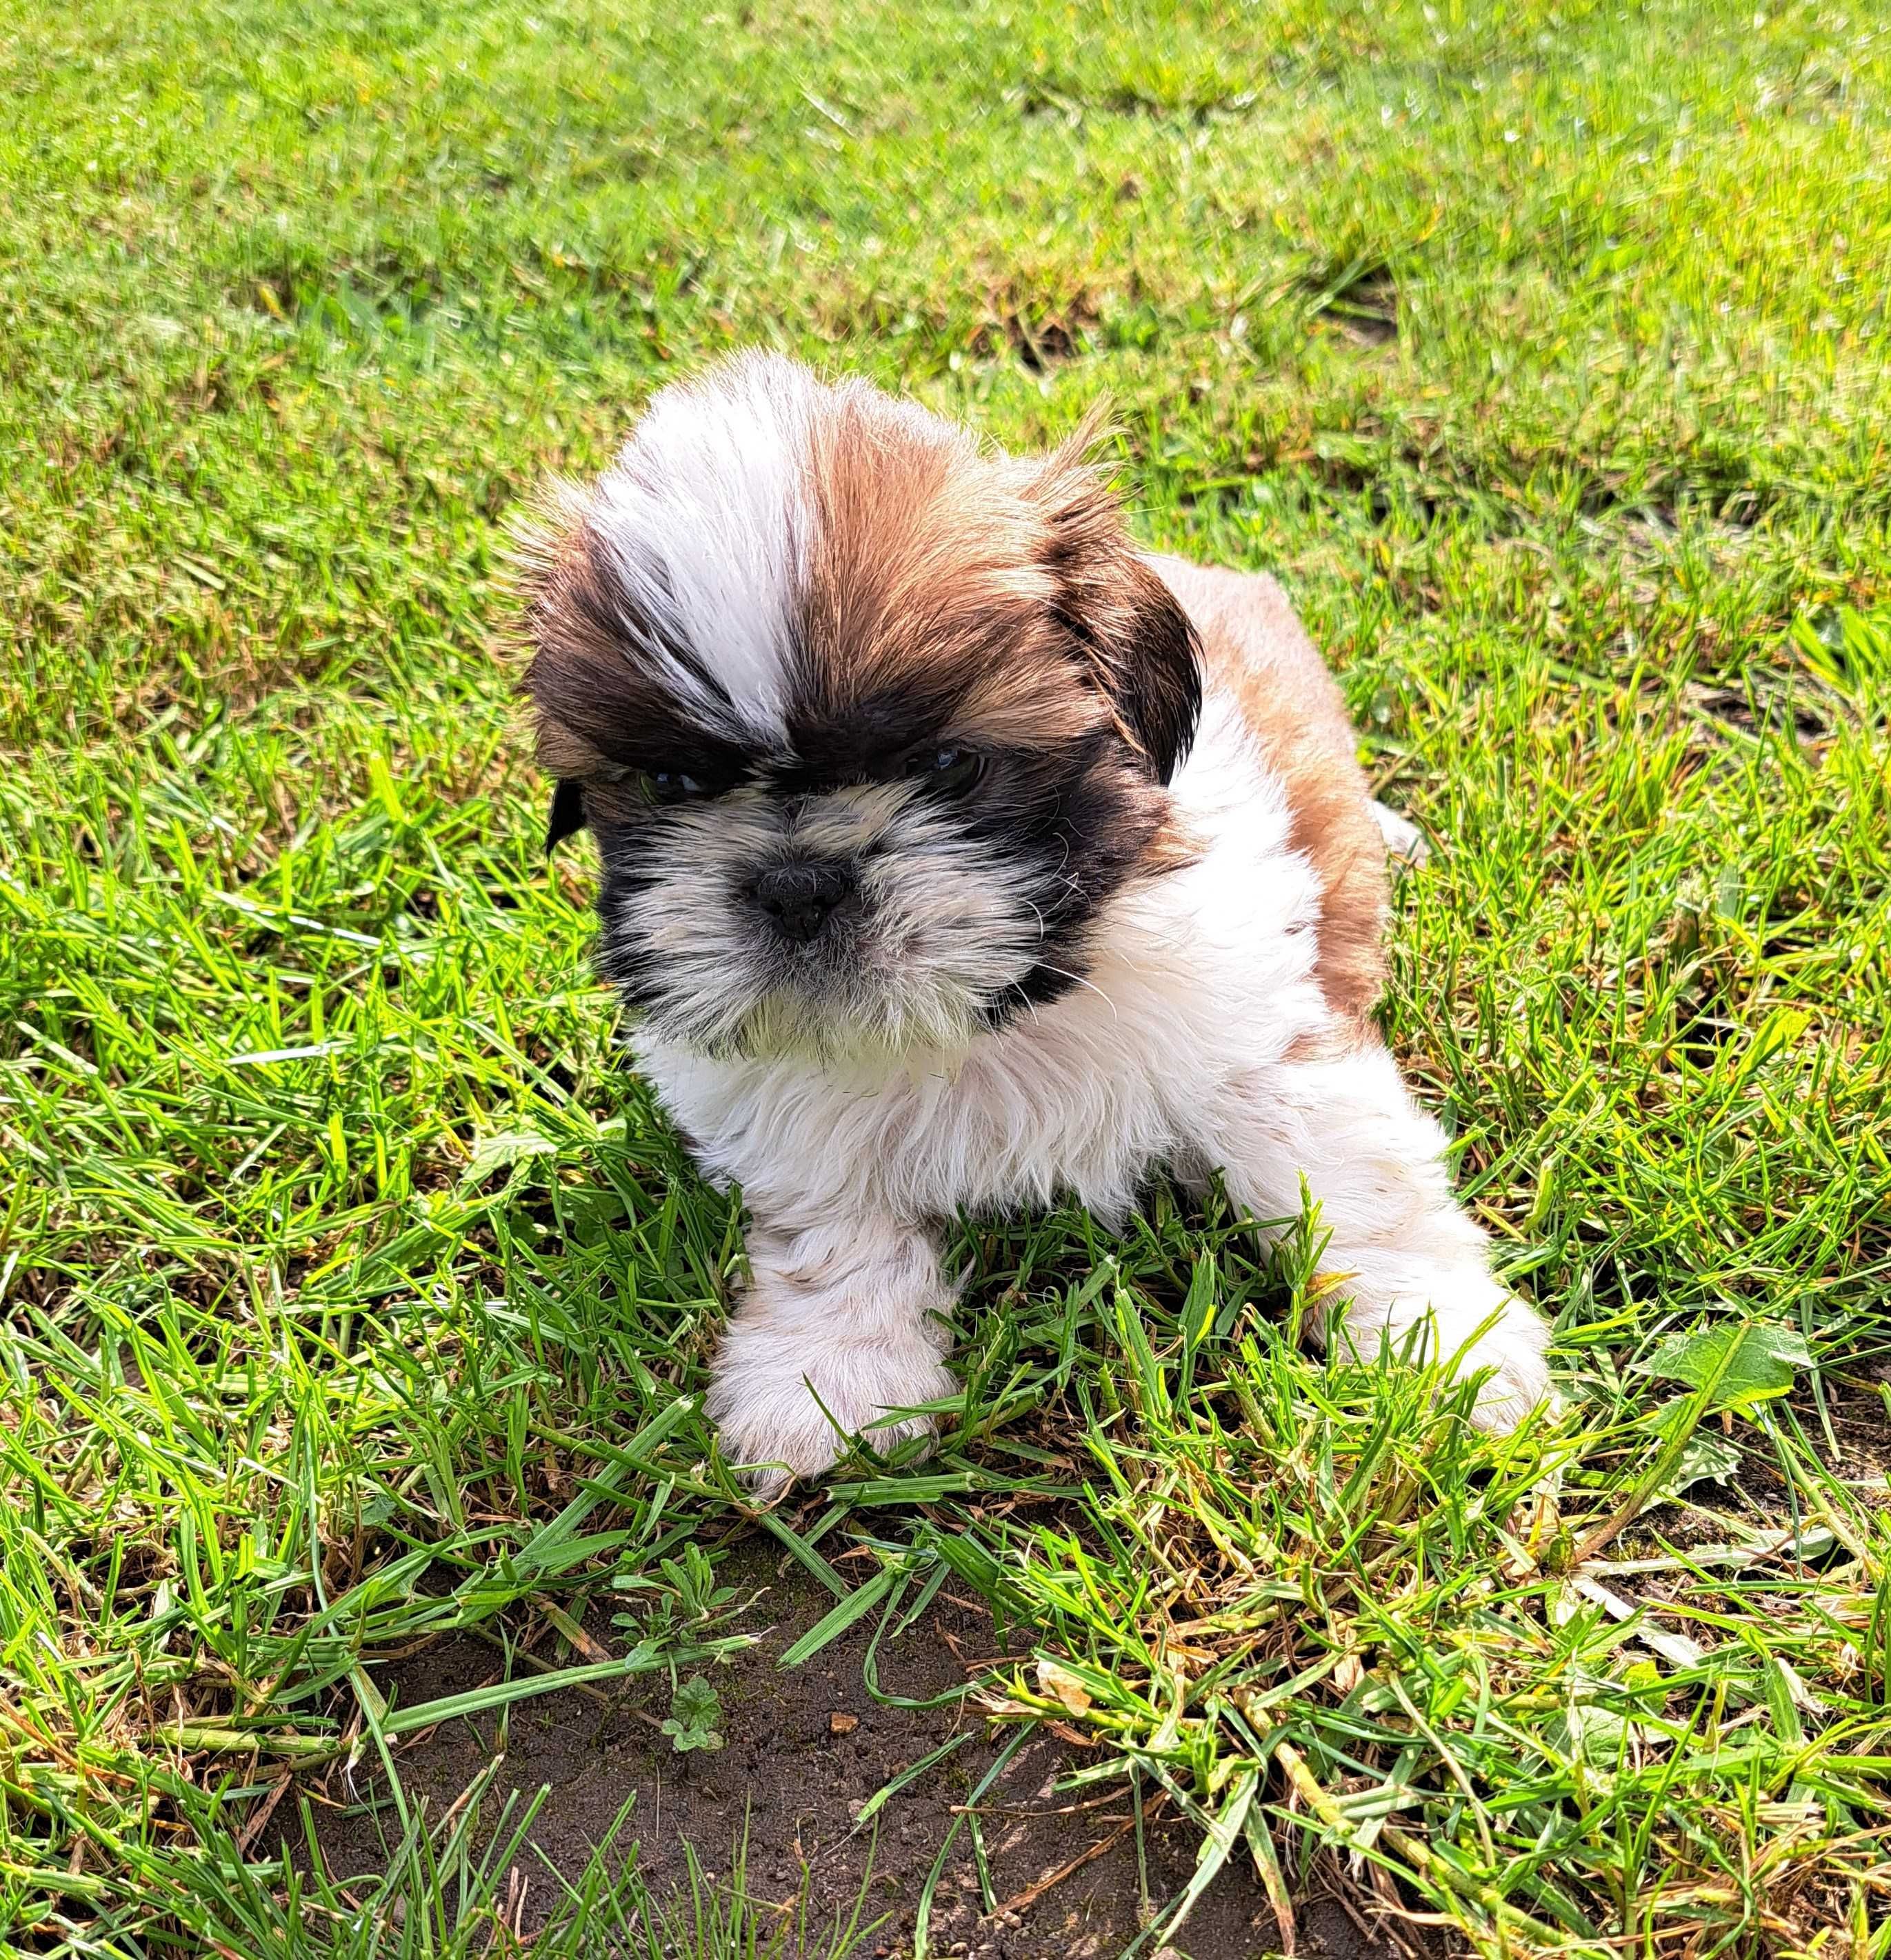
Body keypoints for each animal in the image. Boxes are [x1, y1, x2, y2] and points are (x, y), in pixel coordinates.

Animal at [517, 357, 1552, 1481]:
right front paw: (826, 1375)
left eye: (947, 763)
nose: (798, 880)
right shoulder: (787, 1108)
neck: (999, 1012)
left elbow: (1355, 1185)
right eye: (667, 783)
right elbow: (835, 1223)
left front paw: (1446, 1352)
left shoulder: (1269, 1029)